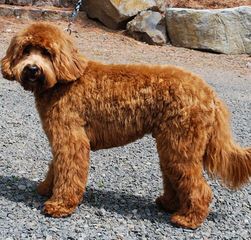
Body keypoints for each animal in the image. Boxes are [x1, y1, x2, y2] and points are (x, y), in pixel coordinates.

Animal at [0, 22, 250, 229]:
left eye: (46, 53)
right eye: (26, 50)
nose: (32, 69)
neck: (64, 81)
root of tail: (210, 94)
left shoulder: (71, 139)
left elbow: (68, 171)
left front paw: (59, 205)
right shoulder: (62, 138)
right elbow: (56, 166)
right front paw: (45, 189)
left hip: (181, 145)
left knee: (200, 188)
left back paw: (188, 219)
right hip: (171, 145)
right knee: (175, 178)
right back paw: (169, 204)